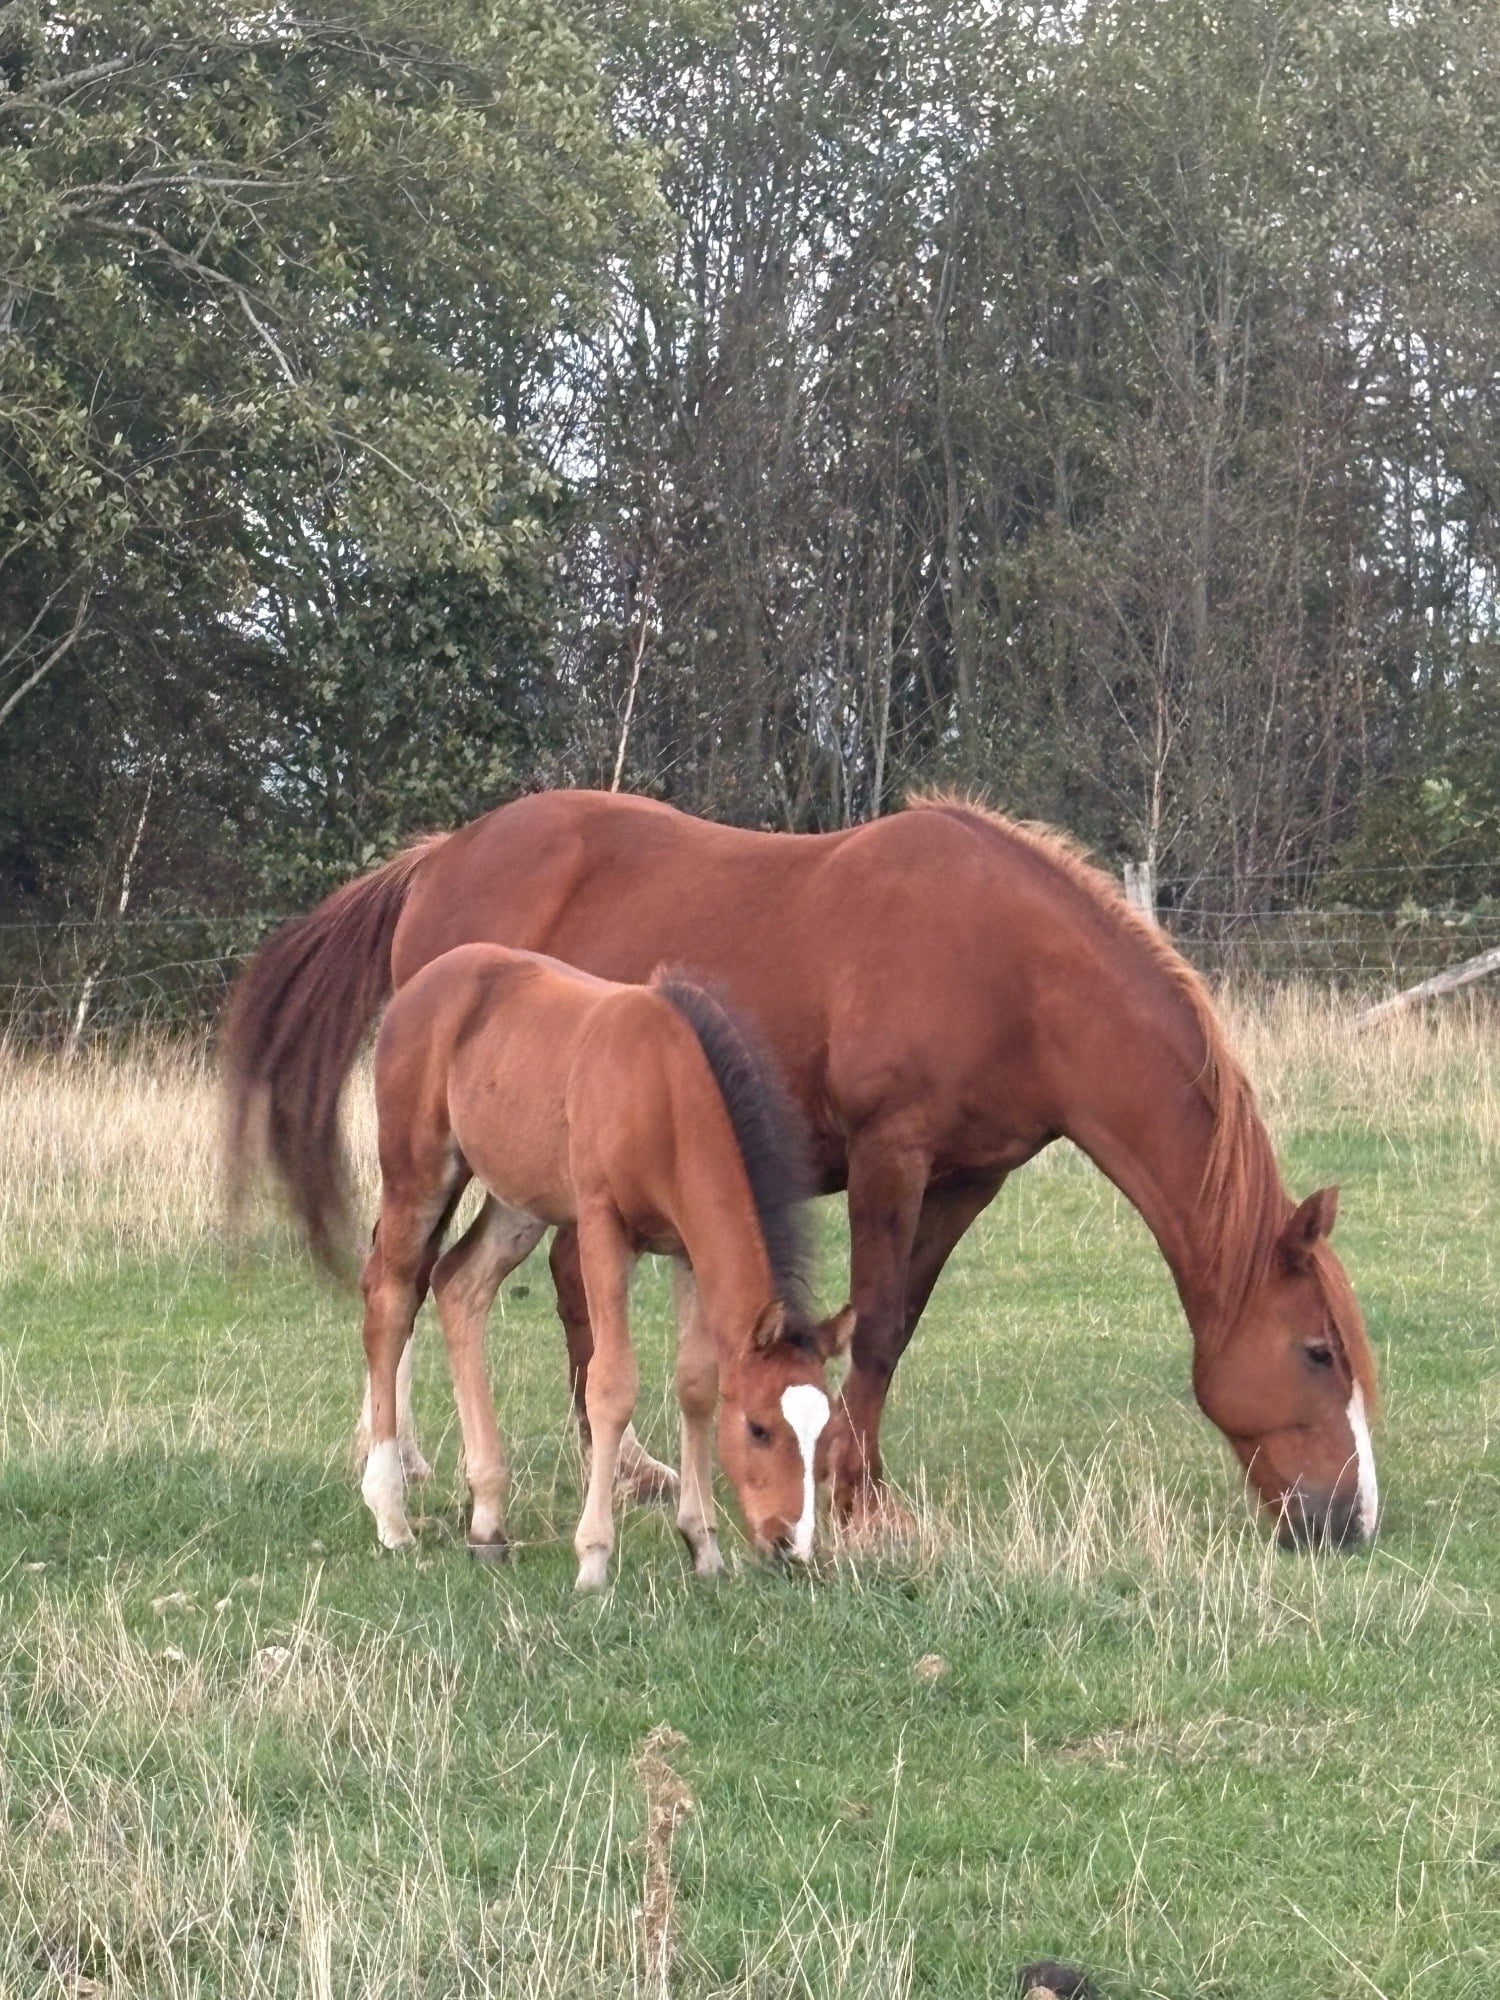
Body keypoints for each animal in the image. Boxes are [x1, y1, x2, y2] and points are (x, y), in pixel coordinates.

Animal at [355, 942, 853, 1587]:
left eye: (825, 1432)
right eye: (759, 1428)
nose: (791, 1544)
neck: (665, 1090)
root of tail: (420, 984)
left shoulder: (686, 1249)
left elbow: (696, 1384)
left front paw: (703, 1545)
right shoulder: (601, 1227)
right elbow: (611, 1384)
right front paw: (593, 1558)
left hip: (521, 1198)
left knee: (458, 1283)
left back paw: (487, 1521)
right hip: (418, 1171)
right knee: (390, 1298)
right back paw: (391, 1513)